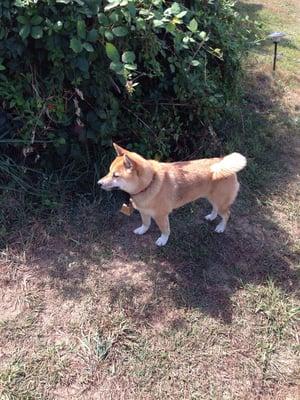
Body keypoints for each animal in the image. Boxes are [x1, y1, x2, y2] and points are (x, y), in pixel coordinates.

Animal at [98, 142, 246, 245]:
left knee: (226, 215)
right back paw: (211, 216)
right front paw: (142, 230)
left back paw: (220, 227)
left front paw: (163, 240)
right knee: (215, 209)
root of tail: (224, 165)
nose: (99, 183)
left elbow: (165, 230)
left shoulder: (161, 215)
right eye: (109, 171)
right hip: (212, 198)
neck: (149, 184)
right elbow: (145, 223)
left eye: (116, 175)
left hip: (221, 202)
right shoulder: (144, 211)